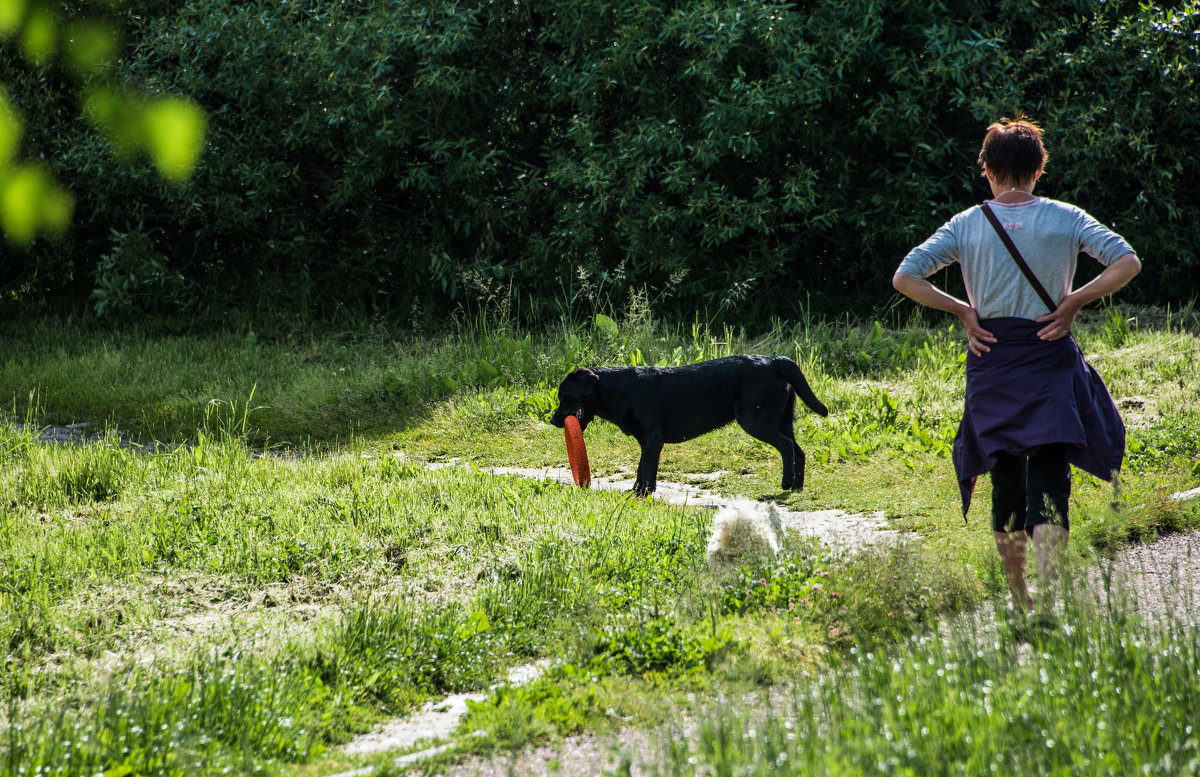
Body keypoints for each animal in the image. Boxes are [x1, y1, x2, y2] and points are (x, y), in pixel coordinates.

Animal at [549, 354, 825, 494]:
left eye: (564, 396)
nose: (552, 420)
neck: (617, 391)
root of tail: (774, 360)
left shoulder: (652, 439)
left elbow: (646, 470)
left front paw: (644, 493)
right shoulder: (646, 441)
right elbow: (640, 468)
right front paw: (635, 492)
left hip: (756, 421)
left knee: (787, 447)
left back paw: (786, 483)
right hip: (782, 420)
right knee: (798, 450)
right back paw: (797, 486)